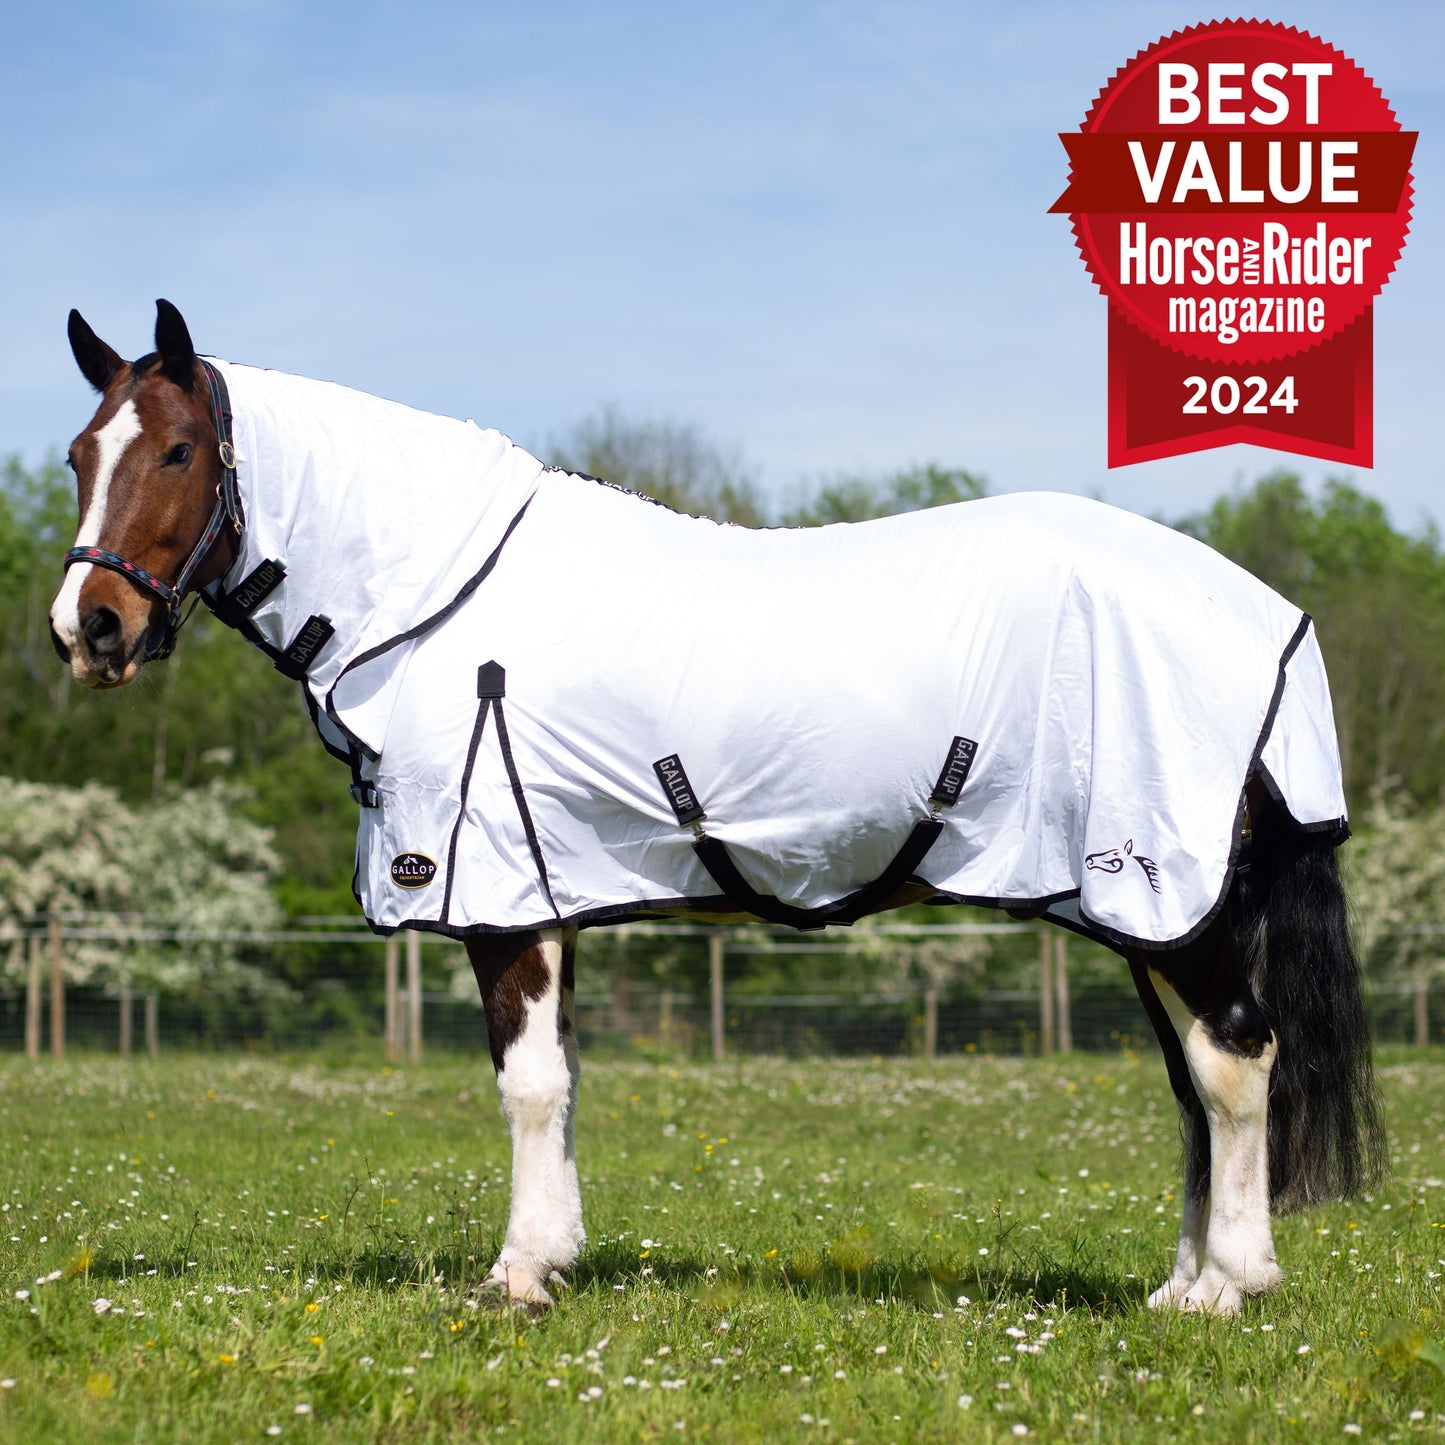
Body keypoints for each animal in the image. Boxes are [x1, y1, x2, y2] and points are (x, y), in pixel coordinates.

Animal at [50, 299, 1384, 1315]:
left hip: (1165, 897)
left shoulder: (500, 898)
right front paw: (556, 1254)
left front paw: (516, 1275)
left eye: (176, 453)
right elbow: (561, 1080)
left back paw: (1230, 1283)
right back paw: (1183, 1284)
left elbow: (526, 1084)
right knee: (1194, 1081)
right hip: (1144, 912)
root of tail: (1268, 620)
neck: (437, 596)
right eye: (75, 456)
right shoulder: (551, 894)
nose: (87, 630)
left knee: (1233, 1062)